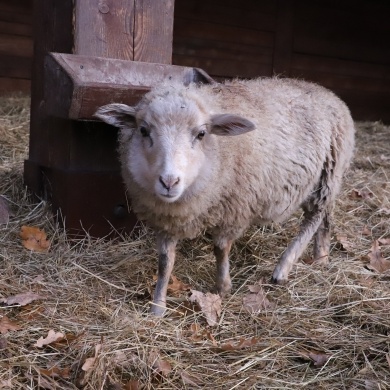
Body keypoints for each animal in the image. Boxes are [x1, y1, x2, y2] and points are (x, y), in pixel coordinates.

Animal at [96, 77, 354, 316]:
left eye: (201, 134)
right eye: (143, 130)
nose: (169, 182)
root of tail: (328, 92)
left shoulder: (234, 209)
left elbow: (220, 249)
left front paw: (222, 287)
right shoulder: (168, 220)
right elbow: (165, 262)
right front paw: (158, 306)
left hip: (329, 171)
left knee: (314, 217)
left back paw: (283, 268)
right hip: (328, 178)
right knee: (326, 217)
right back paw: (321, 256)